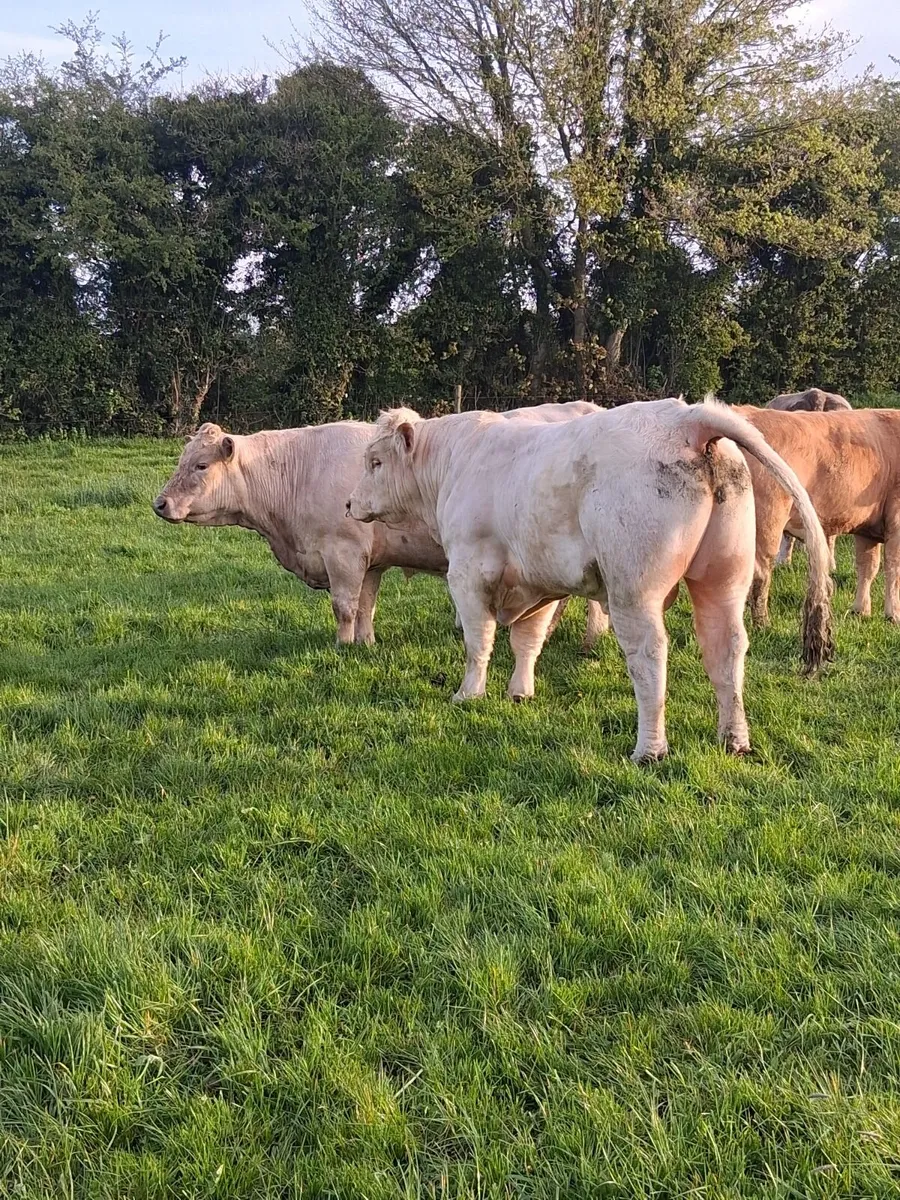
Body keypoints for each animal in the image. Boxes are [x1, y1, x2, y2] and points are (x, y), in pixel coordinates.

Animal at [152, 403, 607, 648]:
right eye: (181, 461)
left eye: (201, 465)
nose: (160, 504)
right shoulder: (370, 560)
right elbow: (366, 605)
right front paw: (365, 644)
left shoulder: (343, 552)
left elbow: (344, 605)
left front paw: (341, 646)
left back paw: (590, 640)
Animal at [347, 398, 833, 763]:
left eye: (375, 461)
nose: (350, 503)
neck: (456, 463)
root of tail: (689, 418)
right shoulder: (536, 580)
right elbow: (527, 640)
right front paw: (520, 693)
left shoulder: (468, 573)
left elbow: (478, 641)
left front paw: (469, 695)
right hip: (723, 579)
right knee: (726, 649)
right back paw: (734, 740)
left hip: (634, 588)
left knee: (650, 655)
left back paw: (650, 750)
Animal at [732, 404, 900, 625]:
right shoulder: (896, 522)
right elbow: (893, 568)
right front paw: (893, 614)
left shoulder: (866, 529)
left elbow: (867, 567)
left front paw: (860, 610)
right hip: (766, 522)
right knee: (760, 574)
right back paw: (762, 623)